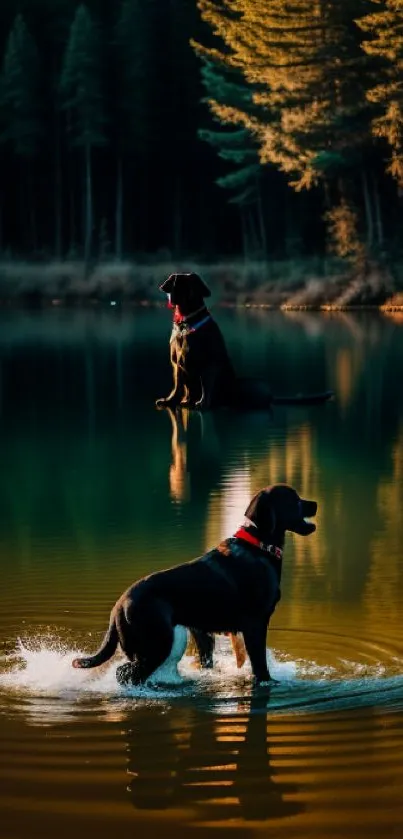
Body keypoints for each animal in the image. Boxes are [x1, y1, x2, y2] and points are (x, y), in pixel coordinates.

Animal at [72, 486, 318, 688]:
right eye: (294, 498)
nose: (314, 504)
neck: (259, 546)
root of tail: (118, 607)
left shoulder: (203, 631)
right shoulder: (255, 623)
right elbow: (260, 665)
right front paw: (269, 681)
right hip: (156, 646)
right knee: (125, 675)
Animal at [156, 270, 332, 412]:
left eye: (193, 284)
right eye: (179, 283)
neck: (186, 321)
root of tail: (272, 396)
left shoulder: (209, 362)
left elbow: (206, 385)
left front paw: (202, 404)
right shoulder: (176, 362)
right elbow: (177, 385)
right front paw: (171, 401)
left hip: (250, 385)